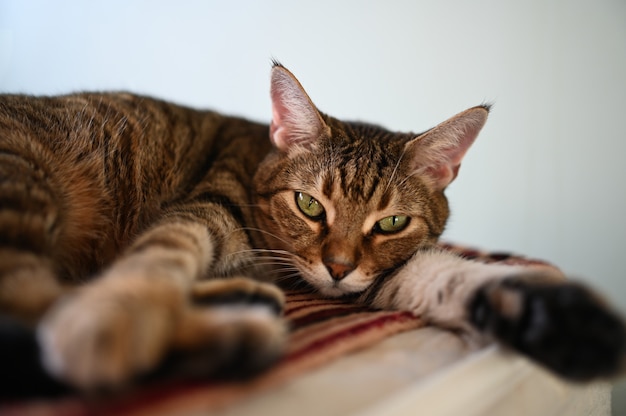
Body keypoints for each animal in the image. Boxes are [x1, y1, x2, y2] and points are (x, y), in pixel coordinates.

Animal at [0, 60, 620, 394]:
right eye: (310, 206)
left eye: (392, 222)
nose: (338, 266)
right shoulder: (200, 212)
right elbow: (160, 257)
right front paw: (116, 316)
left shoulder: (377, 275)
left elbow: (446, 276)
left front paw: (555, 318)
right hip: (26, 184)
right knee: (33, 303)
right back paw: (232, 331)